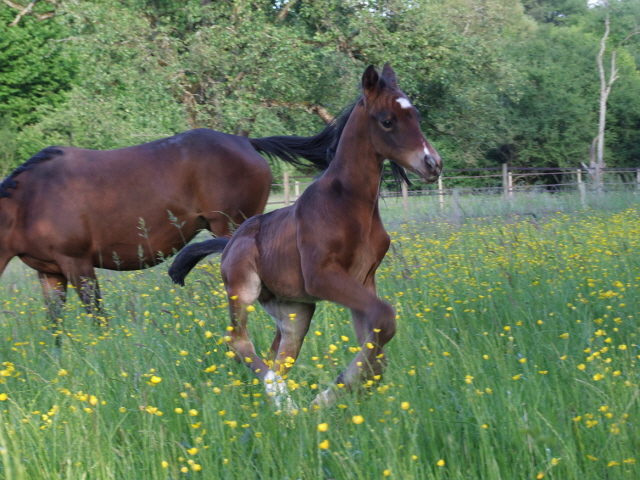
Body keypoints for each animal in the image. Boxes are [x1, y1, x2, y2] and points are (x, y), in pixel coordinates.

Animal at [0, 126, 338, 326]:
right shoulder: (50, 273)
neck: (32, 200)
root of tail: (245, 141)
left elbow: (97, 316)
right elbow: (55, 324)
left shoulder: (78, 265)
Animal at [168, 63, 442, 408]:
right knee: (237, 342)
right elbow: (384, 319)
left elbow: (376, 340)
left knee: (279, 353)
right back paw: (281, 396)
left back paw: (284, 405)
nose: (433, 164)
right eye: (387, 120)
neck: (349, 204)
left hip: (294, 311)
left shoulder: (364, 278)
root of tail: (231, 241)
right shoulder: (321, 277)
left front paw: (339, 393)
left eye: (415, 115)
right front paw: (330, 393)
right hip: (244, 289)